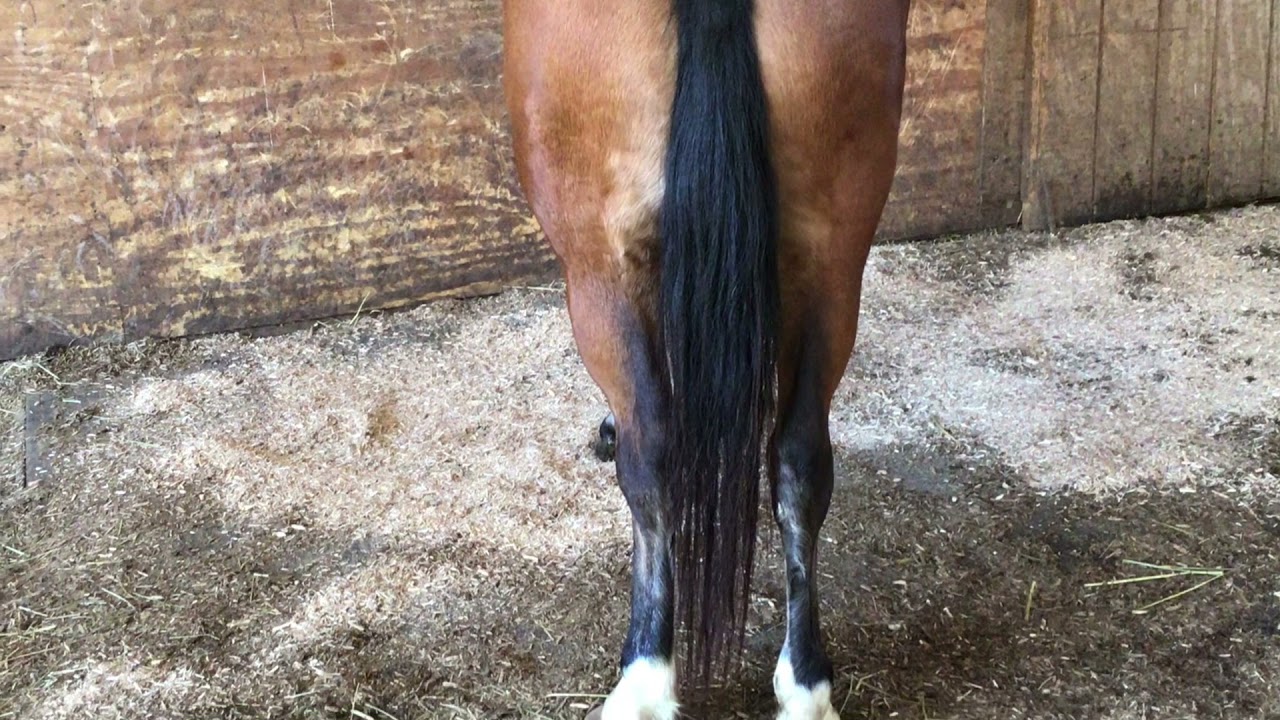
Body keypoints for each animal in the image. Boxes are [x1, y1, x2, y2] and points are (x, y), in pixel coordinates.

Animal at [502, 0, 910, 717]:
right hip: (833, 261)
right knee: (801, 461)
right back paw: (805, 684)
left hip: (596, 272)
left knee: (653, 460)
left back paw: (645, 678)